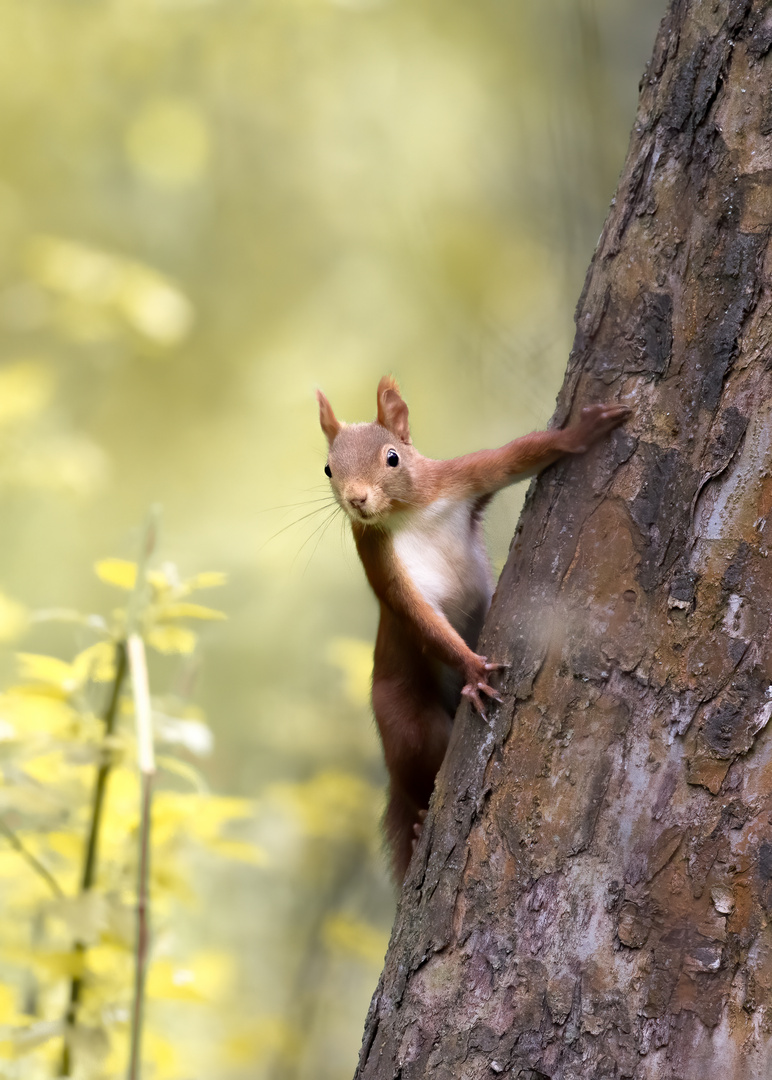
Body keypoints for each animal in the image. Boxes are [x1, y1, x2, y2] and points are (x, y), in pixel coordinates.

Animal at [317, 375, 630, 881]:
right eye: (328, 469)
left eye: (392, 457)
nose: (357, 500)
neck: (405, 512)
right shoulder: (379, 561)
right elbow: (419, 619)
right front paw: (473, 670)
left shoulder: (458, 478)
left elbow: (511, 458)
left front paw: (576, 434)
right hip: (405, 719)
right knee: (416, 766)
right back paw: (420, 825)